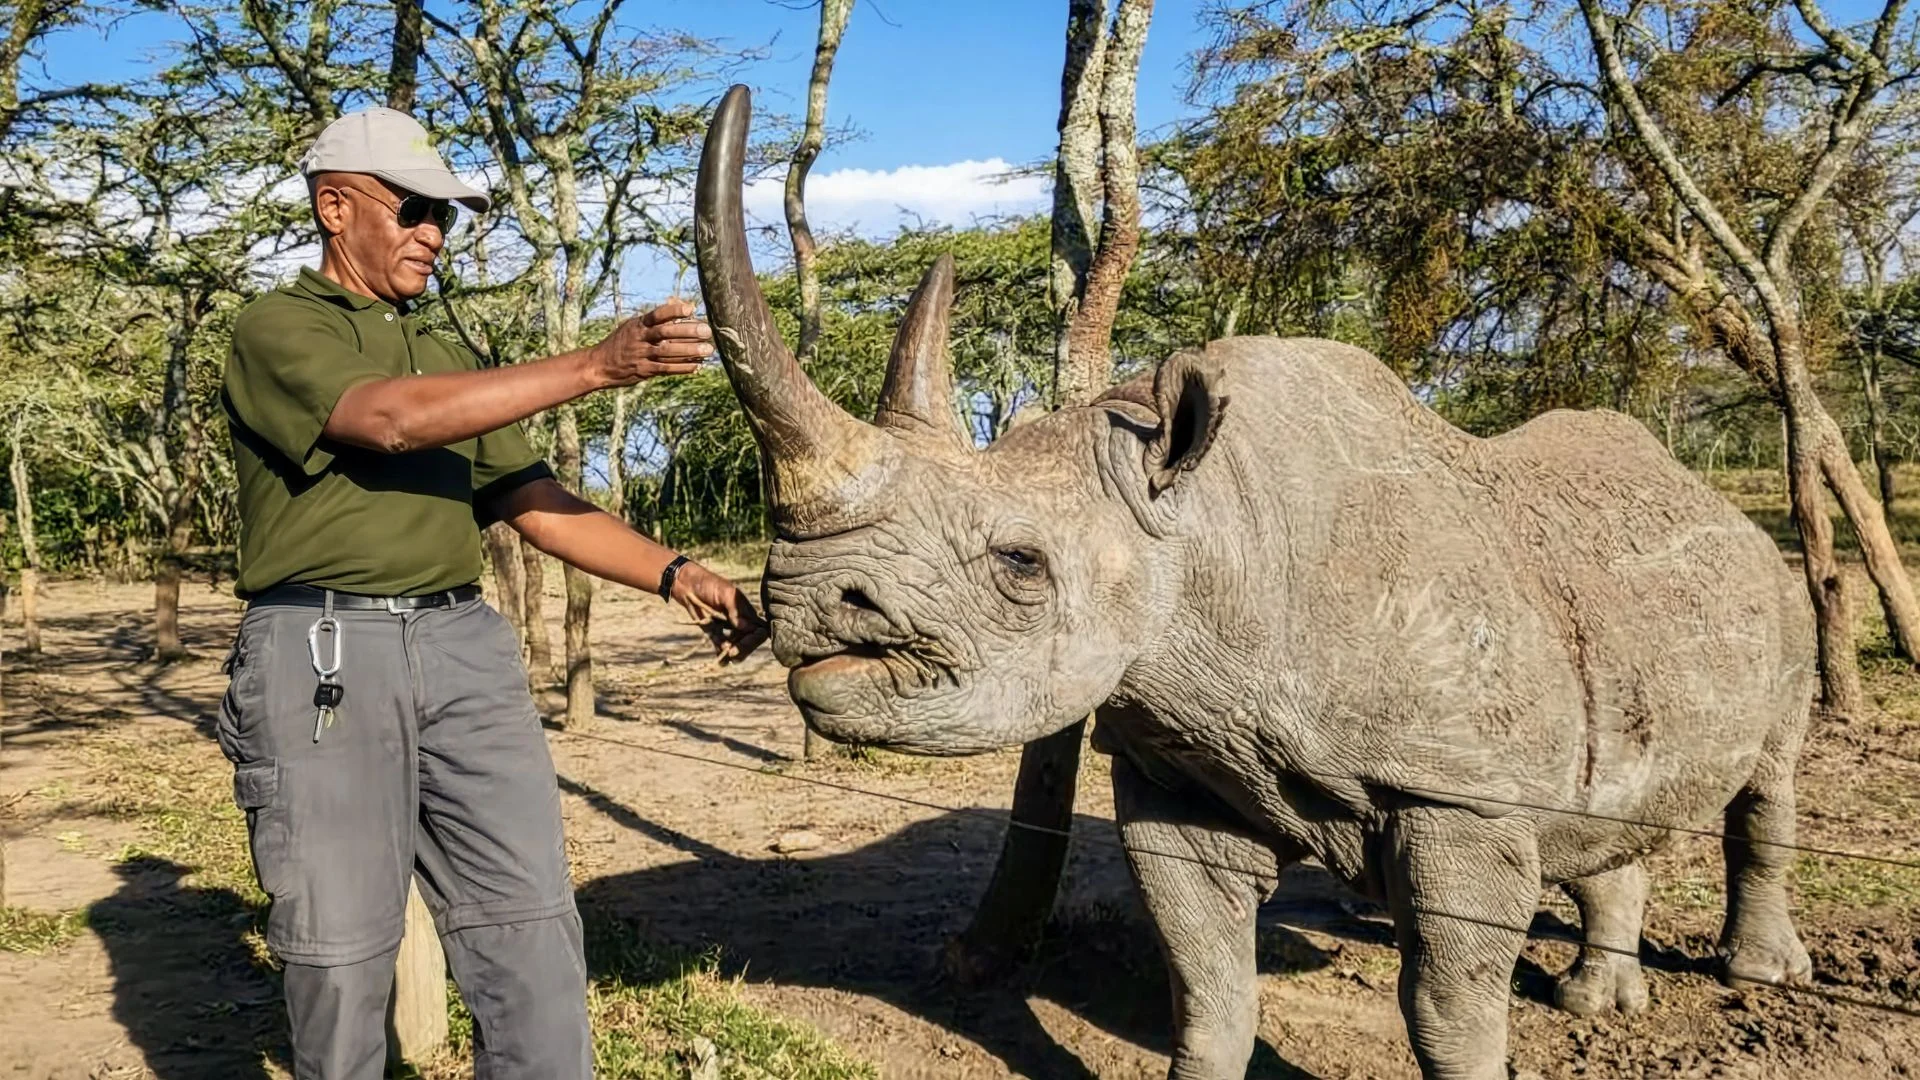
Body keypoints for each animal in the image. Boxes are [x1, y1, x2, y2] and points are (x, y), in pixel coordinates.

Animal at [692, 86, 1815, 1080]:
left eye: (1020, 562)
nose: (797, 601)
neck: (1200, 523)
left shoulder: (1463, 791)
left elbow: (1447, 1007)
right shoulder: (1180, 761)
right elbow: (1209, 985)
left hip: (1783, 584)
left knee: (1769, 779)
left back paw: (1757, 978)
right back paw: (1600, 1003)